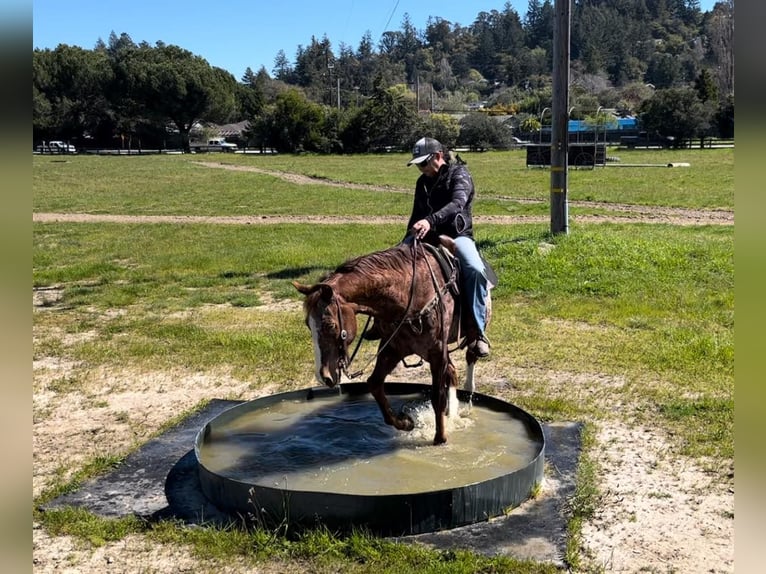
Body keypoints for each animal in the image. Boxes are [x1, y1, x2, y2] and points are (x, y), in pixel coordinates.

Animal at [294, 236, 492, 448]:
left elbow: (437, 397)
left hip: (468, 336)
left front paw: (440, 439)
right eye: (308, 324)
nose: (324, 376)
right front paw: (405, 422)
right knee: (452, 373)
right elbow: (374, 384)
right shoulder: (393, 348)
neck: (409, 295)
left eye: (330, 325)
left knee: (470, 356)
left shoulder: (437, 351)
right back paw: (451, 412)